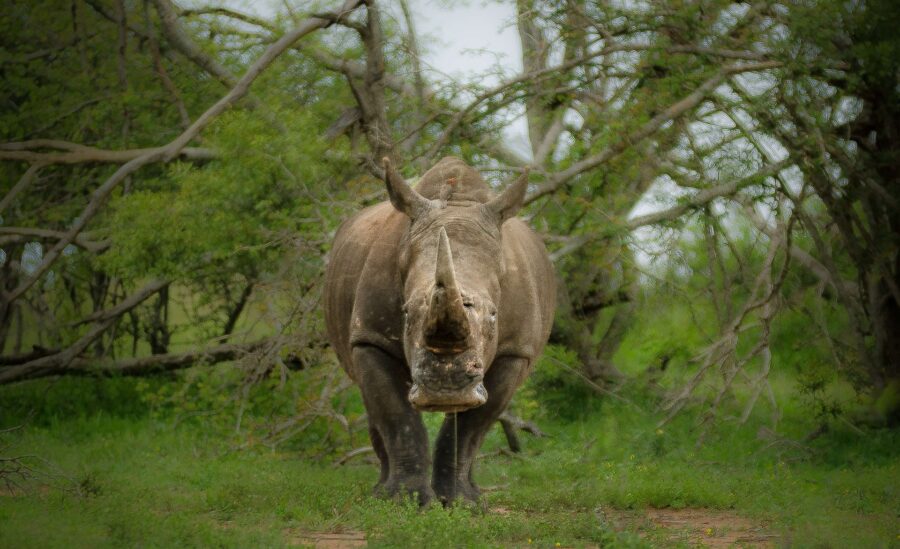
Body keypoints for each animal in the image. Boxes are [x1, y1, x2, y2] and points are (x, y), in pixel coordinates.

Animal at [324, 156, 555, 505]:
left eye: (494, 315)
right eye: (406, 312)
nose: (445, 389)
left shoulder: (516, 349)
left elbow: (473, 426)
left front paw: (463, 504)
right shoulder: (371, 338)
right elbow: (397, 416)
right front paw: (405, 501)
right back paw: (379, 491)